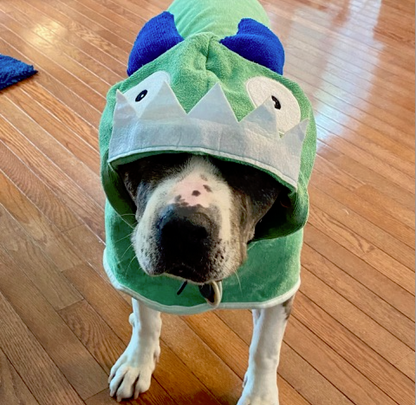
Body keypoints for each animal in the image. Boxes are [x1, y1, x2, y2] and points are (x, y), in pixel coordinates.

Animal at [109, 153, 294, 402]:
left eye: (247, 168)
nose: (184, 228)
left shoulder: (279, 278)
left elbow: (265, 348)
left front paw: (259, 397)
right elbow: (145, 321)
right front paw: (137, 364)